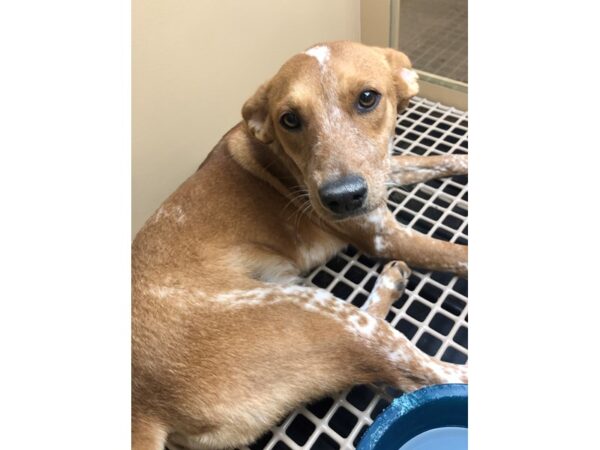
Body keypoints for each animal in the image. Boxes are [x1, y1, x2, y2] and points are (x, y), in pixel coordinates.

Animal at [132, 41, 468, 450]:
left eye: (367, 98)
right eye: (290, 119)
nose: (342, 198)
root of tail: (145, 409)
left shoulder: (381, 171)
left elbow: (434, 159)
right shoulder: (383, 236)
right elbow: (460, 255)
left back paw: (392, 282)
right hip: (316, 312)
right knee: (428, 371)